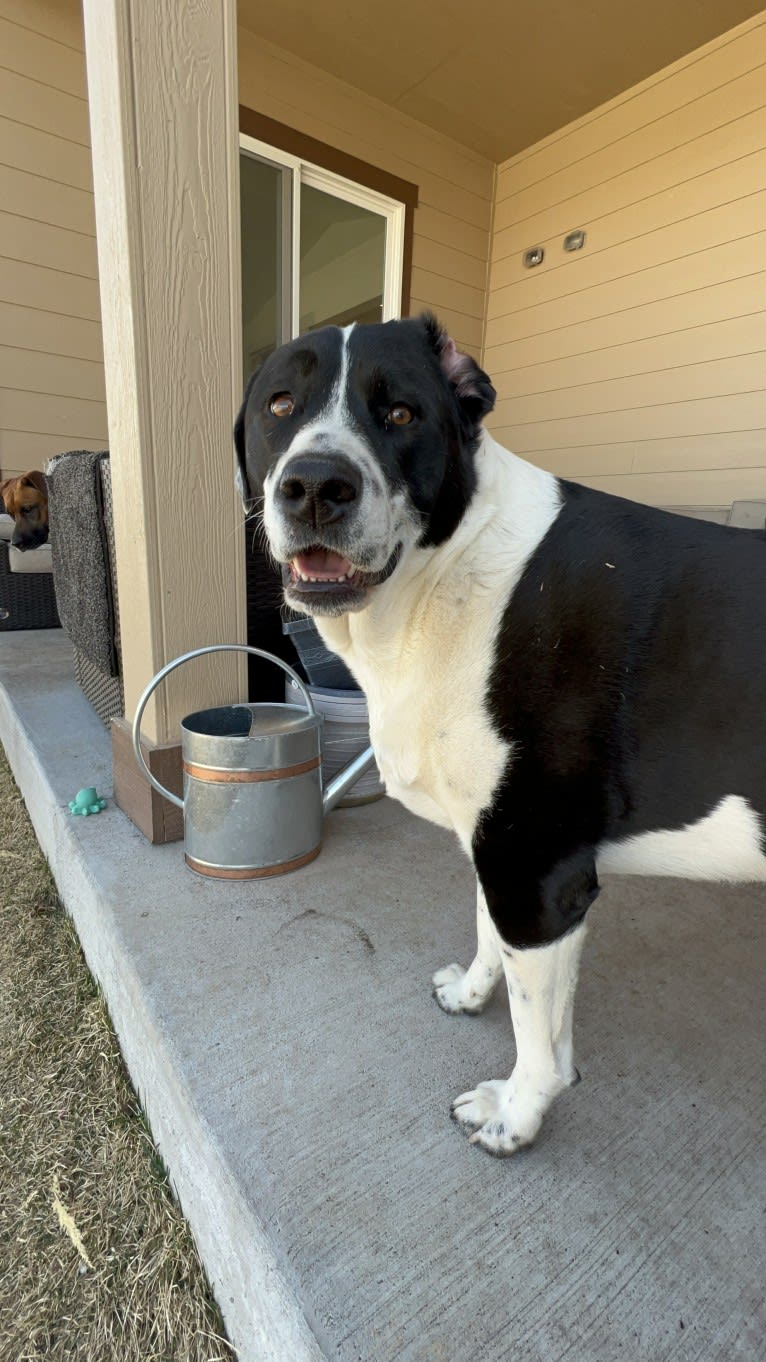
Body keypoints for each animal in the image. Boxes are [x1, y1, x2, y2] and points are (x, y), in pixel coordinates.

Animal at [234, 313, 763, 1154]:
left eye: (401, 413)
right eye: (280, 405)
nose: (316, 485)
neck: (452, 571)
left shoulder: (534, 874)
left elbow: (537, 1039)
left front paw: (516, 1114)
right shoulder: (507, 860)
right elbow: (502, 958)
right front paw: (476, 995)